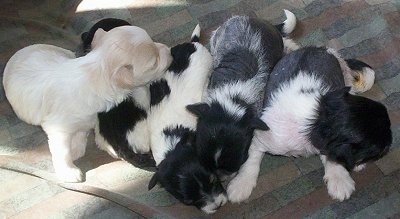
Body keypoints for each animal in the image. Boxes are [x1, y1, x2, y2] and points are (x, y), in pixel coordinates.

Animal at [2, 25, 172, 182]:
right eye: (154, 62)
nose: (170, 50)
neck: (96, 69)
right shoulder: (58, 129)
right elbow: (62, 151)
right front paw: (69, 171)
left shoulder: (86, 120)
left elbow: (81, 134)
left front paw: (76, 149)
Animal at [227, 47, 392, 203]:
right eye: (377, 147)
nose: (390, 144)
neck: (318, 116)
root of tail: (321, 48)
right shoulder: (261, 136)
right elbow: (250, 161)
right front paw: (240, 185)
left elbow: (333, 159)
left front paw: (339, 180)